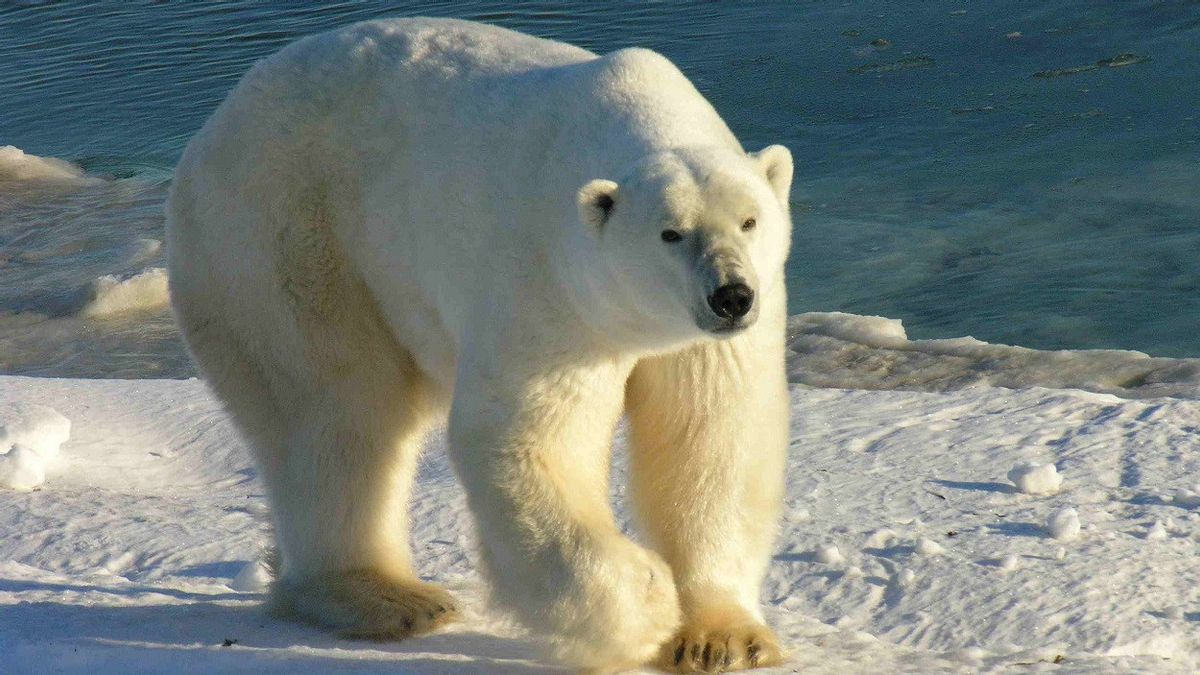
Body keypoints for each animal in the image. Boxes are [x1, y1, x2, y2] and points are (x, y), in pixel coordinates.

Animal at [164, 17, 792, 672]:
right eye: (670, 233)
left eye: (749, 220)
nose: (731, 296)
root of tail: (214, 126)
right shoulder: (549, 284)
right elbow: (529, 436)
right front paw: (646, 605)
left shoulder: (711, 337)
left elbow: (713, 436)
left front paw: (723, 639)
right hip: (281, 236)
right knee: (334, 409)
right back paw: (387, 597)